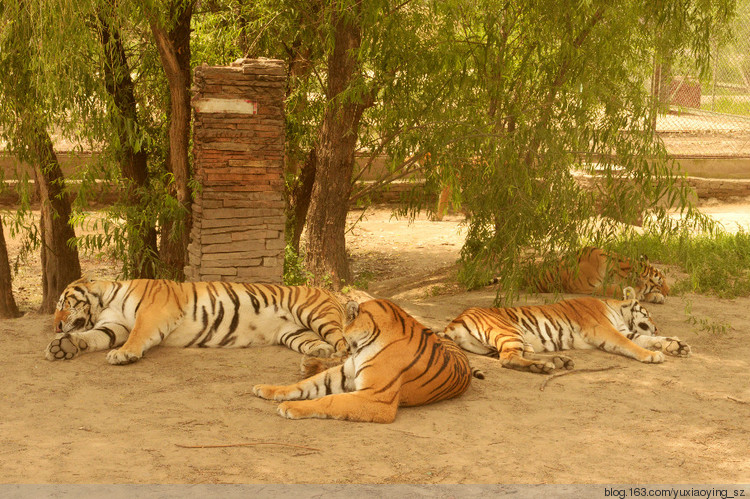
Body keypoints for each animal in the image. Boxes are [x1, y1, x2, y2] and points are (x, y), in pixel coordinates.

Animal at [46, 280, 350, 366]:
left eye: (62, 304)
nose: (56, 327)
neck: (105, 302)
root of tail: (330, 292)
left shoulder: (153, 312)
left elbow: (138, 335)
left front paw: (123, 354)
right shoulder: (113, 326)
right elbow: (93, 337)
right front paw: (62, 347)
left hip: (315, 314)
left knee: (345, 342)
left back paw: (338, 357)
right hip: (294, 332)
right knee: (318, 342)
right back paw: (320, 352)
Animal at [256, 298, 484, 424]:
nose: (345, 348)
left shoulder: (375, 398)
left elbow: (329, 401)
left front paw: (290, 407)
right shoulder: (345, 373)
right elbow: (304, 385)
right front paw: (267, 389)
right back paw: (309, 364)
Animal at [444, 290, 692, 376]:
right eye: (649, 314)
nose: (657, 326)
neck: (617, 310)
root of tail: (454, 320)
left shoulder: (626, 331)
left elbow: (649, 339)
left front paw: (677, 346)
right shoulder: (604, 330)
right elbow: (632, 345)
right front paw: (653, 356)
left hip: (505, 341)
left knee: (521, 353)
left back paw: (558, 361)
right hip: (509, 330)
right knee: (508, 358)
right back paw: (543, 367)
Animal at [536, 246, 668, 304]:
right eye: (659, 284)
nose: (668, 293)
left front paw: (656, 296)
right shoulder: (587, 288)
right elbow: (613, 288)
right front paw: (638, 294)